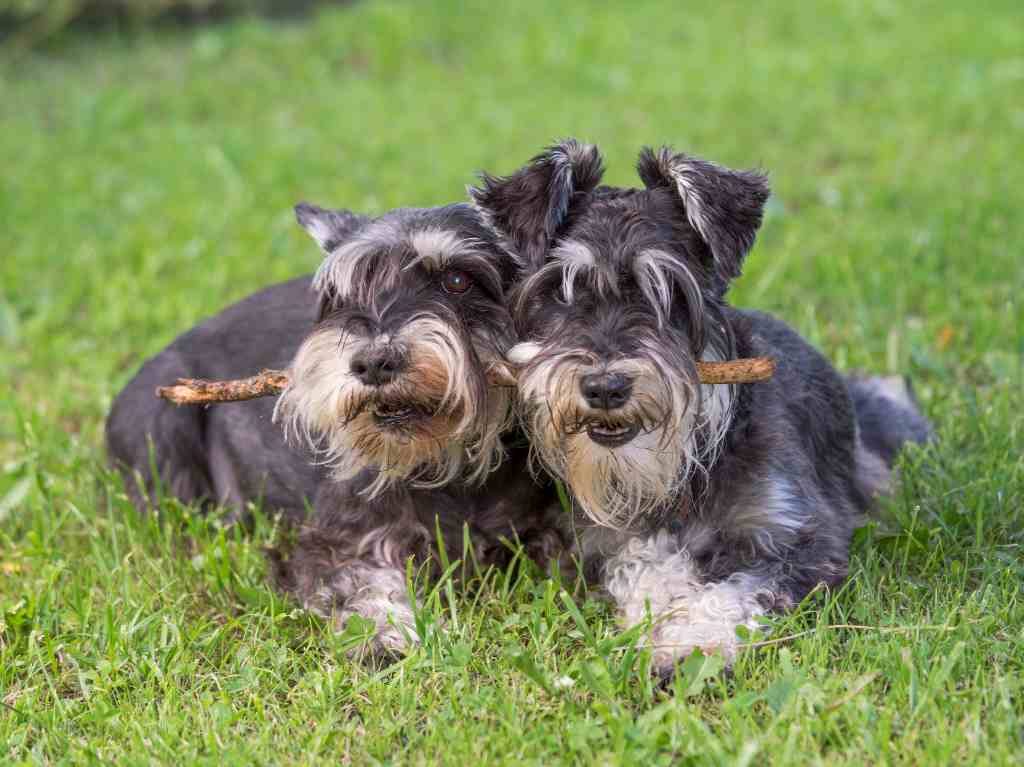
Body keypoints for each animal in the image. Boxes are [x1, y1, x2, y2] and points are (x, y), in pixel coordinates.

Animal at [103, 198, 565, 651]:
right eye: (342, 293)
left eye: (456, 279)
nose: (372, 362)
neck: (449, 465)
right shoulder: (342, 540)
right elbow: (361, 584)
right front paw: (387, 635)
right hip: (160, 427)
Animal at [471, 139, 937, 671]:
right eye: (559, 290)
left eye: (670, 291)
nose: (605, 387)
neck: (688, 472)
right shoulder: (608, 538)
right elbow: (646, 564)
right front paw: (663, 610)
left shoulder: (799, 537)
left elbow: (734, 589)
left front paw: (691, 643)